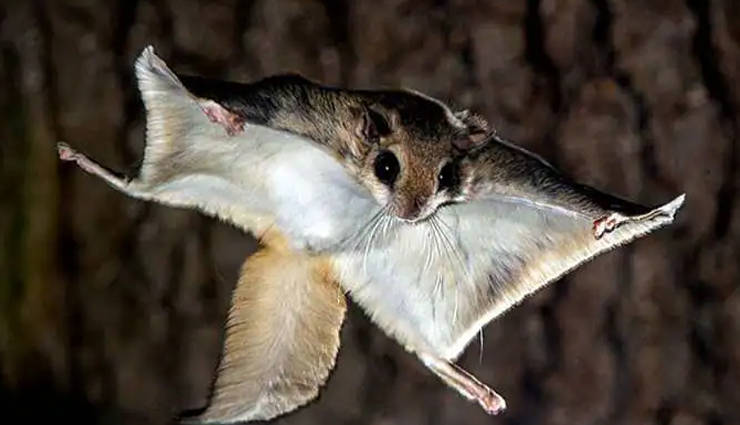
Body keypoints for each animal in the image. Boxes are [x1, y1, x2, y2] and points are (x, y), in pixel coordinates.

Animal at [58, 46, 685, 423]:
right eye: (387, 166)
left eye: (446, 177)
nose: (411, 215)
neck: (361, 186)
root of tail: (304, 254)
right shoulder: (293, 104)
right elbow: (243, 101)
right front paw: (221, 115)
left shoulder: (503, 174)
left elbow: (566, 196)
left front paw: (609, 220)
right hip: (177, 179)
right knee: (136, 188)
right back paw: (87, 161)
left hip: (398, 301)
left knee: (428, 351)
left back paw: (476, 388)